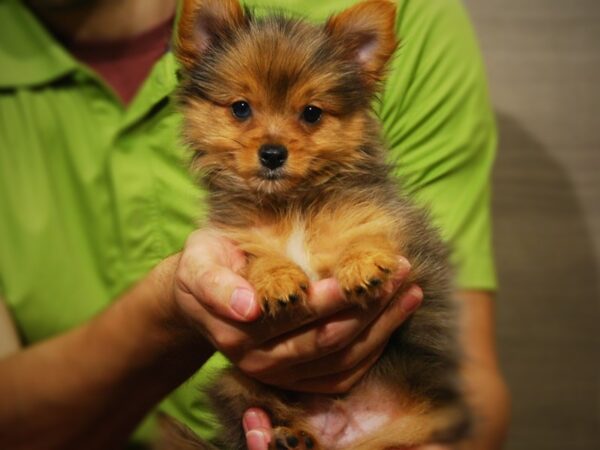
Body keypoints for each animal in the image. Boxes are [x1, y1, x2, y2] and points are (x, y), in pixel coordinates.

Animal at [165, 1, 474, 448]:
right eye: (241, 108)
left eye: (311, 113)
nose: (272, 154)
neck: (292, 205)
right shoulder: (239, 238)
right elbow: (258, 257)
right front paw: (277, 278)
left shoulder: (389, 223)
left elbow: (365, 234)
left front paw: (362, 265)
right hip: (236, 385)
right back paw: (291, 436)